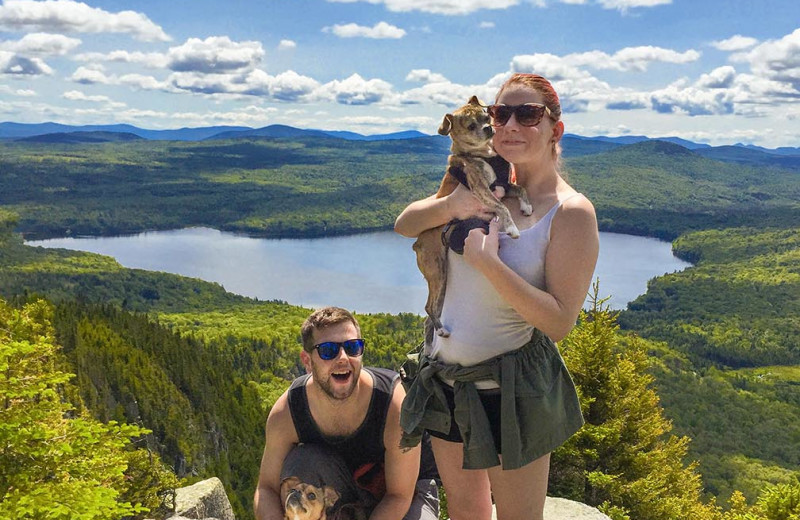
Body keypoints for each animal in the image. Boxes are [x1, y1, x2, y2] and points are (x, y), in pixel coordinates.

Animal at [412, 96, 532, 340]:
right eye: (470, 126)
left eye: (487, 116)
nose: (488, 128)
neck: (483, 154)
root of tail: (417, 243)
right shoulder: (481, 188)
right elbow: (502, 208)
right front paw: (512, 228)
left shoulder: (502, 185)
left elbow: (520, 188)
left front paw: (526, 206)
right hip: (437, 270)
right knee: (429, 305)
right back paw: (442, 330)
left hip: (442, 274)